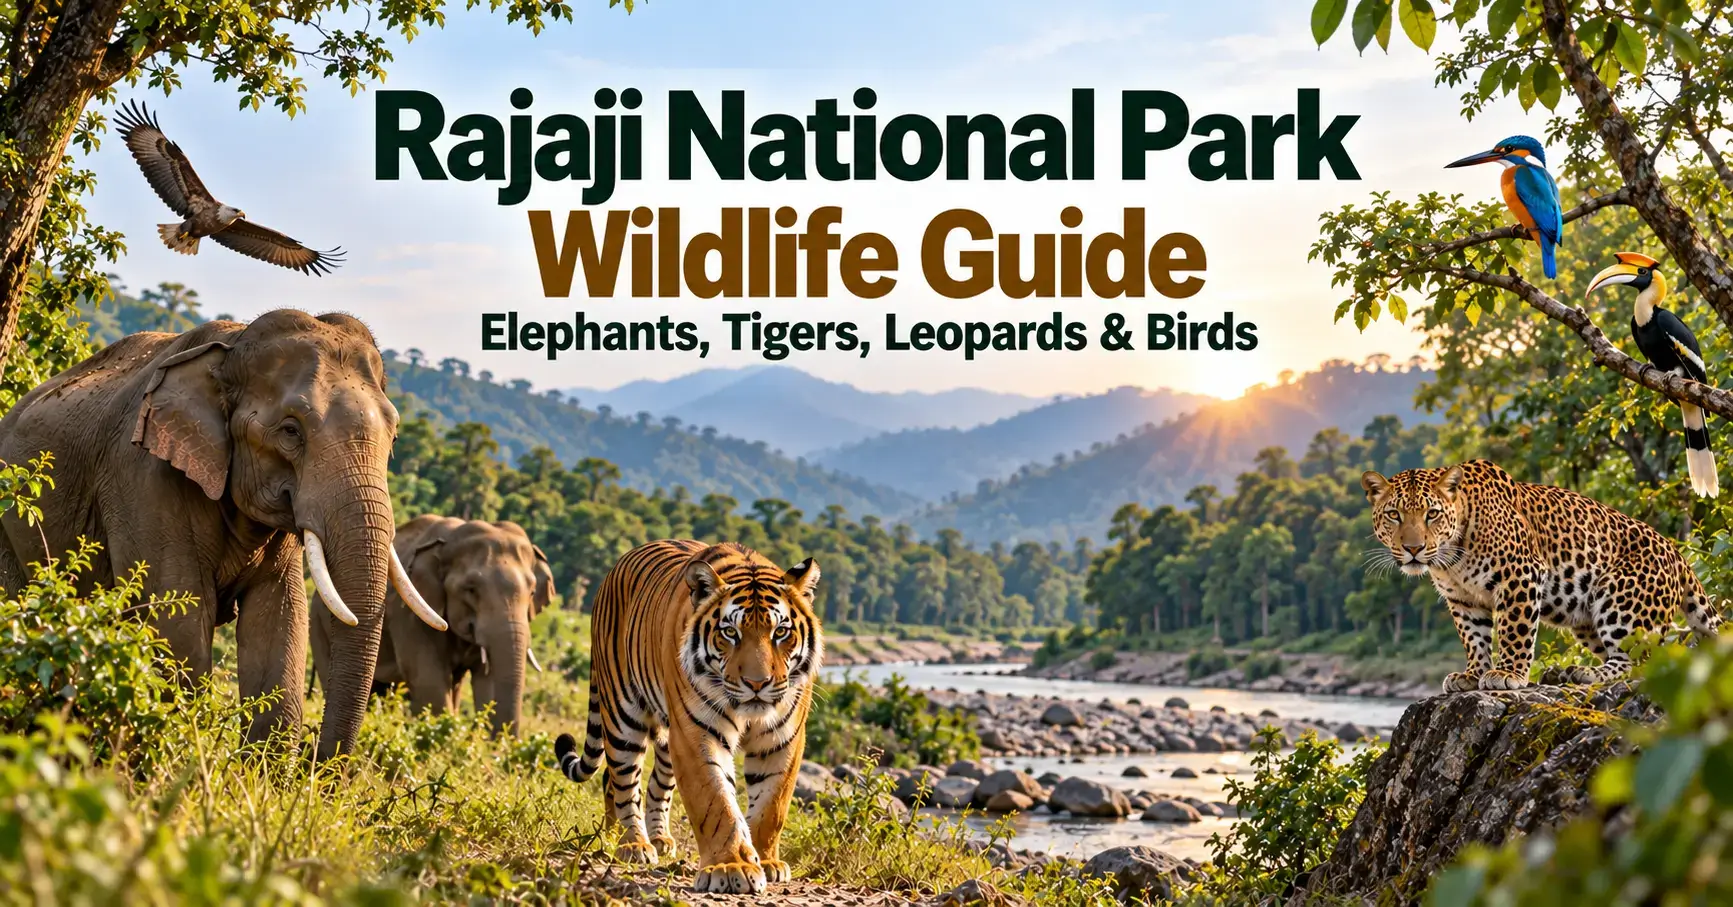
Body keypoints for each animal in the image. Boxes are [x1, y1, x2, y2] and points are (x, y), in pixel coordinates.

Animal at [0, 310, 446, 758]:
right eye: (290, 431)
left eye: (394, 435)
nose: (316, 761)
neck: (230, 350)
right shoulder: (141, 477)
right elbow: (176, 622)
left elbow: (278, 620)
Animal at [553, 539, 823, 894]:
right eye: (730, 632)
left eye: (780, 632)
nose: (757, 684)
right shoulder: (697, 733)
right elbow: (715, 802)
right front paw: (730, 867)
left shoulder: (782, 738)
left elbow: (771, 806)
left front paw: (766, 861)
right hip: (624, 715)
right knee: (622, 781)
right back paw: (632, 844)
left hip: (668, 737)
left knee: (650, 784)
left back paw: (648, 838)